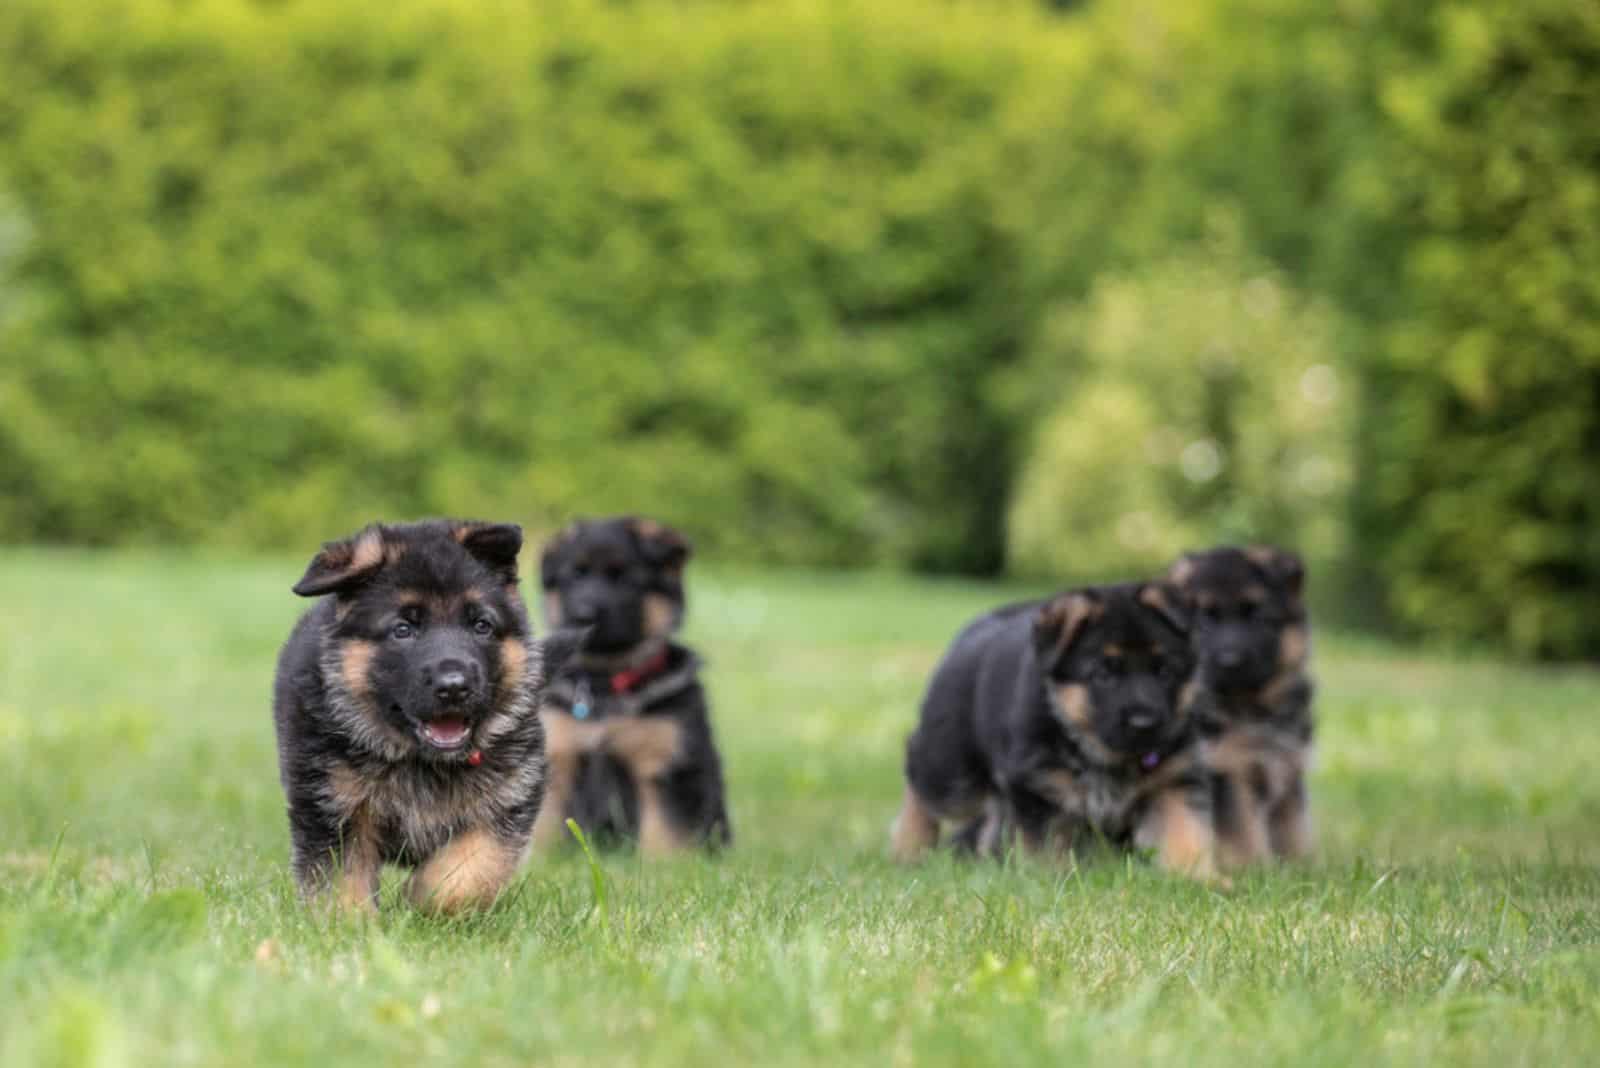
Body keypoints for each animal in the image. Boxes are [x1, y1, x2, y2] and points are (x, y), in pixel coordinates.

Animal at [273, 521, 582, 914]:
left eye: (481, 625)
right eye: (403, 629)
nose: (454, 687)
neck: (422, 761)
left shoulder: (506, 804)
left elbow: (468, 870)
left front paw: (418, 900)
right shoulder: (332, 805)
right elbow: (341, 880)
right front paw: (350, 923)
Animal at [531, 511, 732, 856]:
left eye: (624, 579)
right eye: (575, 575)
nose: (584, 615)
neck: (605, 685)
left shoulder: (665, 766)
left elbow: (666, 833)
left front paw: (666, 866)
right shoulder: (557, 758)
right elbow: (541, 828)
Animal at [896, 585, 1216, 876]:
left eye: (1164, 672)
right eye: (1103, 674)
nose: (1145, 723)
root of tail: (978, 624)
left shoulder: (1174, 784)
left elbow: (1184, 834)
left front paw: (1196, 879)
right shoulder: (1036, 787)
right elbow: (1045, 849)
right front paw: (1049, 880)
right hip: (952, 772)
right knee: (919, 780)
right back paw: (908, 849)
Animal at [1171, 543, 1318, 869]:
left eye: (1257, 616)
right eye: (1205, 620)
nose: (1230, 661)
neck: (1252, 707)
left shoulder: (1289, 773)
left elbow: (1294, 833)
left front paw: (1301, 868)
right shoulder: (1228, 772)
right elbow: (1243, 834)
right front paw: (1253, 870)